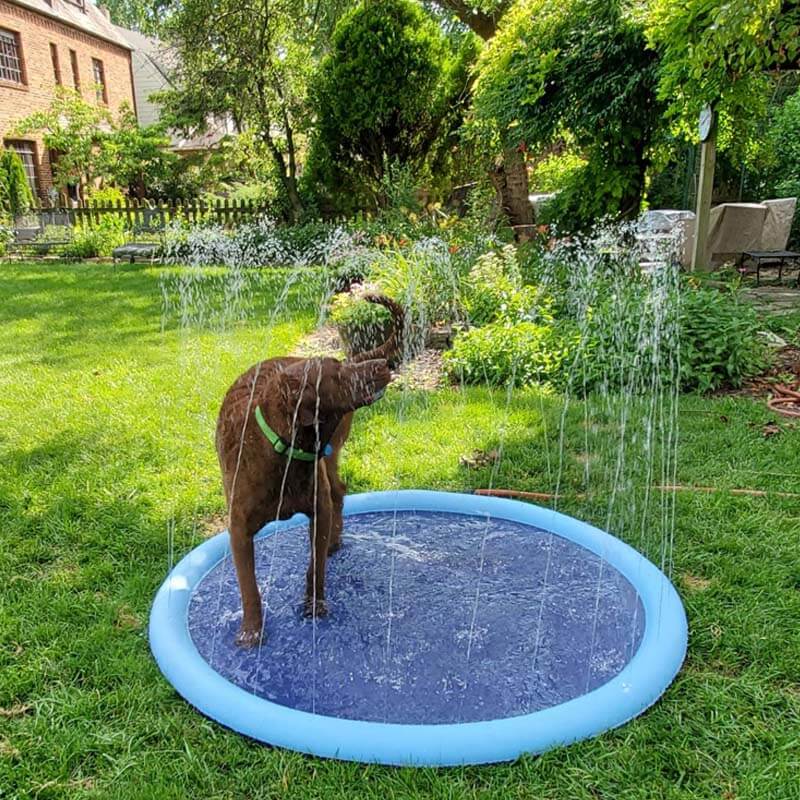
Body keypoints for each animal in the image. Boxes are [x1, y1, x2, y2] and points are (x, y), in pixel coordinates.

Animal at [216, 292, 404, 644]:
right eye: (337, 373)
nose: (383, 365)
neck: (286, 451)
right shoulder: (238, 531)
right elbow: (249, 587)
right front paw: (251, 632)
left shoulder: (318, 509)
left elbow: (315, 567)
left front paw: (314, 606)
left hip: (329, 459)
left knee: (338, 494)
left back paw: (333, 543)